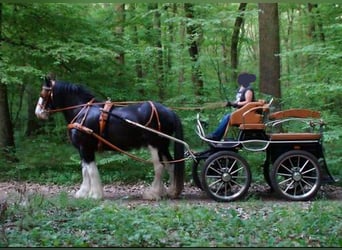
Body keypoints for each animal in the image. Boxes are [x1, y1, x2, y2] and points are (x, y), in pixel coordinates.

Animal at [35, 75, 184, 199]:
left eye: (43, 93)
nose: (38, 113)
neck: (81, 111)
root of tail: (169, 111)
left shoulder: (85, 148)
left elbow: (90, 171)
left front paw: (95, 195)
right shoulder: (82, 150)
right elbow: (84, 170)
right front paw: (83, 193)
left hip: (154, 144)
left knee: (159, 166)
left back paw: (153, 193)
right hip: (163, 145)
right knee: (171, 165)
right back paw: (170, 191)